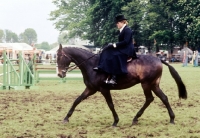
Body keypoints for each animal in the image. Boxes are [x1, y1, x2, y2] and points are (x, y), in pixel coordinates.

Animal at [56, 44, 188, 126]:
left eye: (60, 57)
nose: (59, 74)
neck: (92, 64)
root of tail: (159, 59)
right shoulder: (90, 89)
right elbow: (77, 100)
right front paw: (66, 118)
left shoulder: (104, 89)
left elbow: (110, 105)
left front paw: (115, 121)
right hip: (154, 85)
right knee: (163, 98)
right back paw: (171, 119)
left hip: (146, 84)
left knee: (150, 98)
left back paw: (137, 118)